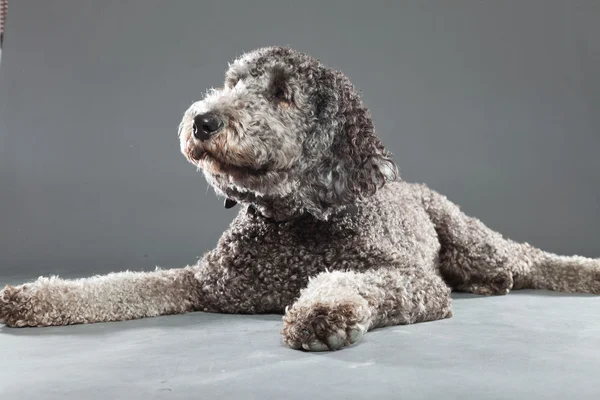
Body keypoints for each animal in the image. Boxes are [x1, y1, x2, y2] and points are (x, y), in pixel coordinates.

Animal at [1, 47, 600, 350]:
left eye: (283, 94)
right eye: (233, 82)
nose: (202, 120)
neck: (292, 221)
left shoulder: (412, 280)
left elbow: (351, 280)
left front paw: (322, 312)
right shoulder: (203, 282)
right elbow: (120, 285)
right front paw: (36, 296)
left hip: (476, 243)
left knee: (527, 259)